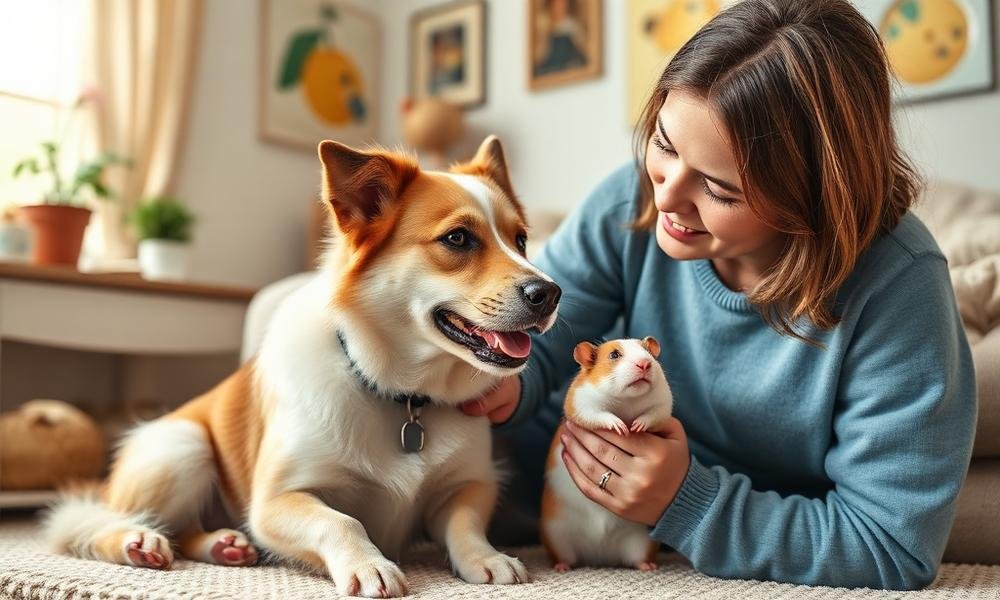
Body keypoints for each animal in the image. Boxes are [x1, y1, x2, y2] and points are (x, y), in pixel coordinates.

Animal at [540, 336, 673, 572]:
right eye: (614, 355)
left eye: (648, 352)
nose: (645, 364)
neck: (628, 402)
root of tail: (600, 555)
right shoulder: (583, 405)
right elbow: (603, 415)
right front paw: (620, 426)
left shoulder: (662, 404)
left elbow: (651, 415)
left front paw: (636, 427)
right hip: (556, 534)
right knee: (565, 556)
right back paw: (561, 567)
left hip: (641, 542)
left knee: (637, 558)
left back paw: (649, 567)